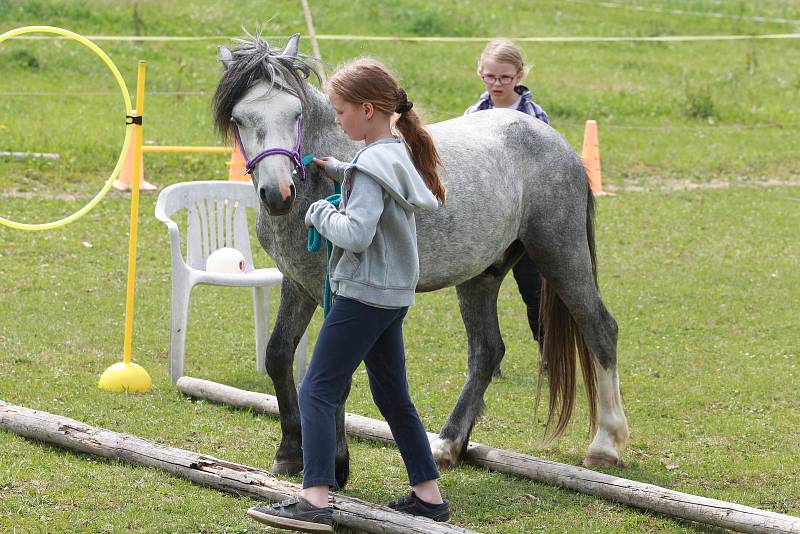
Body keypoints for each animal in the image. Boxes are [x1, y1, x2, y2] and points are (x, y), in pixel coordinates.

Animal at [214, 31, 632, 488]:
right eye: (239, 119)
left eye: (295, 114)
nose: (278, 194)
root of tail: (556, 142)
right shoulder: (300, 285)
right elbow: (278, 355)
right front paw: (290, 451)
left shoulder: (337, 293)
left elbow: (334, 375)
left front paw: (334, 466)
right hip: (481, 276)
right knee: (487, 352)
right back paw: (448, 445)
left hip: (560, 253)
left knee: (600, 329)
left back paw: (605, 444)